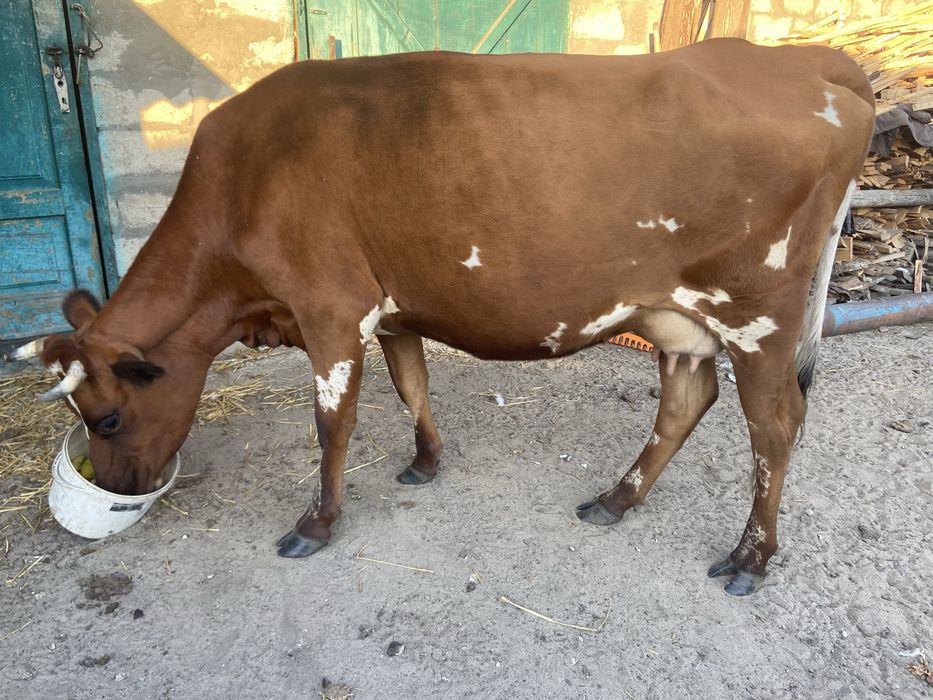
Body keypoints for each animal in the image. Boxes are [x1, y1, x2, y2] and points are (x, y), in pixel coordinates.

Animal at [8, 39, 874, 596]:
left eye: (108, 418)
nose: (119, 486)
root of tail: (804, 59)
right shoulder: (392, 309)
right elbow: (411, 386)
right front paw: (425, 461)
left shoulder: (329, 306)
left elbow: (334, 425)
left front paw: (317, 523)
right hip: (676, 315)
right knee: (686, 401)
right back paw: (615, 499)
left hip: (759, 312)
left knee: (775, 425)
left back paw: (750, 558)